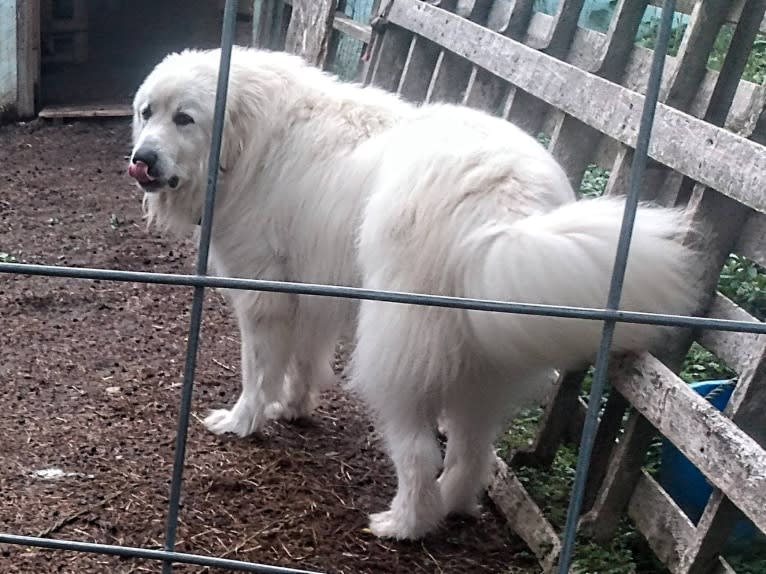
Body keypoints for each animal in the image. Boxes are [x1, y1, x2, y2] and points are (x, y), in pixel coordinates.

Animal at [129, 47, 700, 544]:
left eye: (185, 118)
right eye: (146, 112)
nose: (141, 159)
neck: (249, 141)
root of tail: (504, 207)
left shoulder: (263, 295)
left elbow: (258, 370)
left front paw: (243, 421)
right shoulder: (313, 289)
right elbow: (305, 360)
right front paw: (294, 407)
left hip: (395, 358)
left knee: (421, 454)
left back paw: (404, 524)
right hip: (482, 371)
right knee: (470, 452)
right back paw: (453, 505)